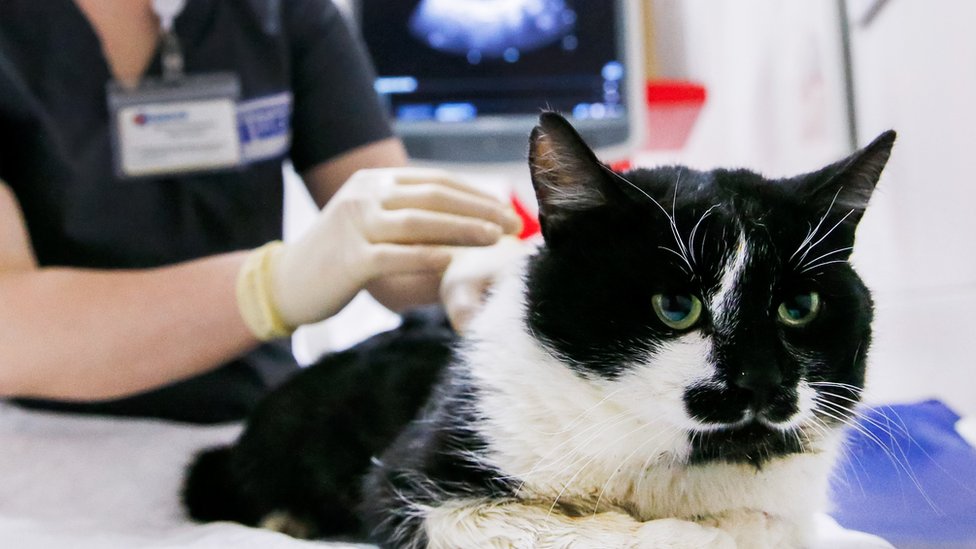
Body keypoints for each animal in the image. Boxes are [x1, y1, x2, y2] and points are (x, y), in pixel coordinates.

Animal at [181, 112, 892, 548]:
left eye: (799, 307)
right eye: (675, 306)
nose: (762, 381)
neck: (668, 460)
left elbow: (777, 522)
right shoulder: (411, 487)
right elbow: (565, 527)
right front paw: (702, 533)